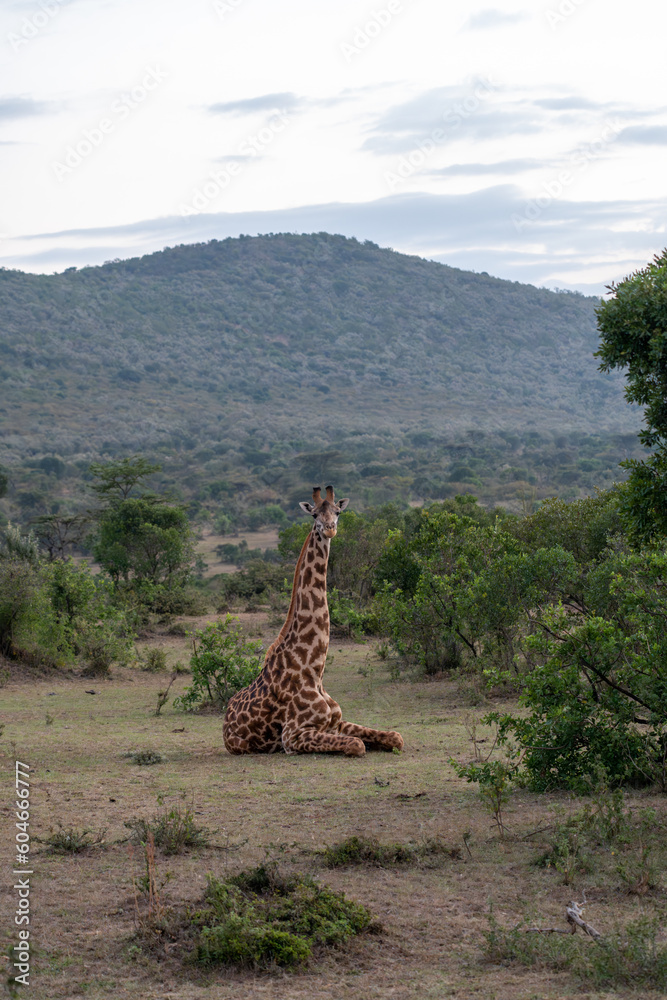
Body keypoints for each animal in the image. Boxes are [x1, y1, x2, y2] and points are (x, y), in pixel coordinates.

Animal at [223, 485, 404, 757]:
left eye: (338, 511)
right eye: (314, 514)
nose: (329, 528)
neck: (314, 670)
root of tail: (224, 719)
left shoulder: (337, 722)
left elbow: (395, 736)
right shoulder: (292, 736)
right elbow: (356, 744)